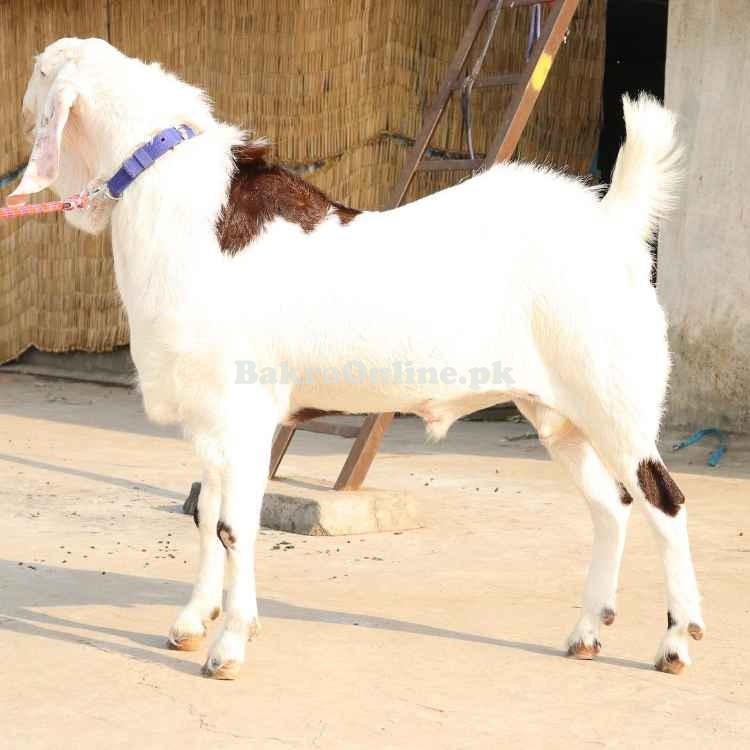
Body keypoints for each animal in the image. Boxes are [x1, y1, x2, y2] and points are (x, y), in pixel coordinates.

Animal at [10, 36, 704, 680]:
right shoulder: (208, 416)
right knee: (611, 507)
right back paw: (587, 632)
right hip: (556, 414)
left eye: (39, 72)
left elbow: (236, 526)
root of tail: (612, 226)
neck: (183, 206)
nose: (18, 108)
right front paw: (190, 622)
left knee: (664, 501)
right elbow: (206, 516)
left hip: (616, 397)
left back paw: (675, 642)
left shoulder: (244, 413)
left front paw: (229, 646)